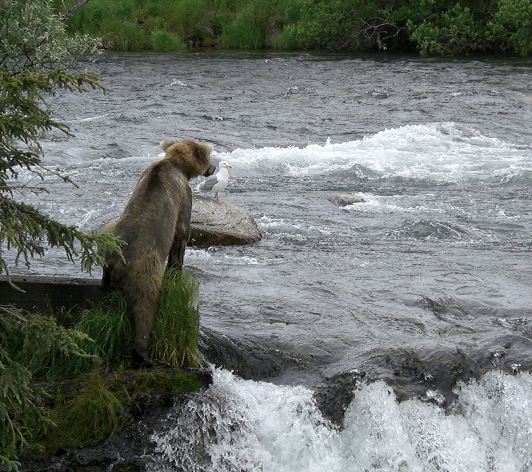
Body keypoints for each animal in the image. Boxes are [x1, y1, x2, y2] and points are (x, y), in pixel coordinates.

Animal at [101, 140, 215, 368]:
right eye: (210, 157)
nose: (214, 168)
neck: (178, 166)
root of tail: (116, 262)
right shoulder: (183, 196)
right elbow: (181, 235)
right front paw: (176, 272)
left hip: (107, 269)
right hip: (145, 269)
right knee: (145, 305)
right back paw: (144, 356)